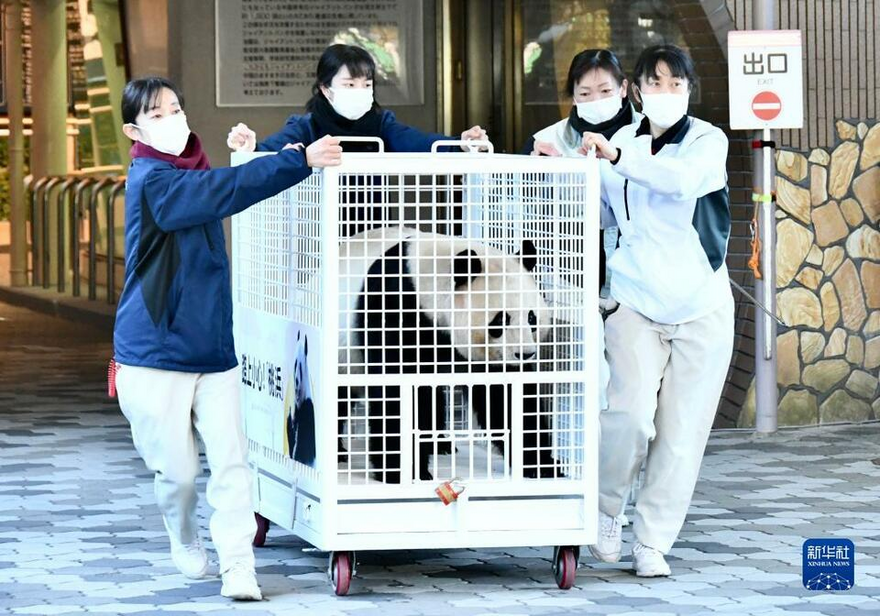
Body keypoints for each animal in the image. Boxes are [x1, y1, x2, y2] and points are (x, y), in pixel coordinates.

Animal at [336, 226, 564, 486]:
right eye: (500, 320)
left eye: (532, 318)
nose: (525, 354)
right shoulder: (394, 308)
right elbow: (398, 391)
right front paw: (406, 471)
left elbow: (504, 397)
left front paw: (542, 465)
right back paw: (339, 452)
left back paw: (440, 443)